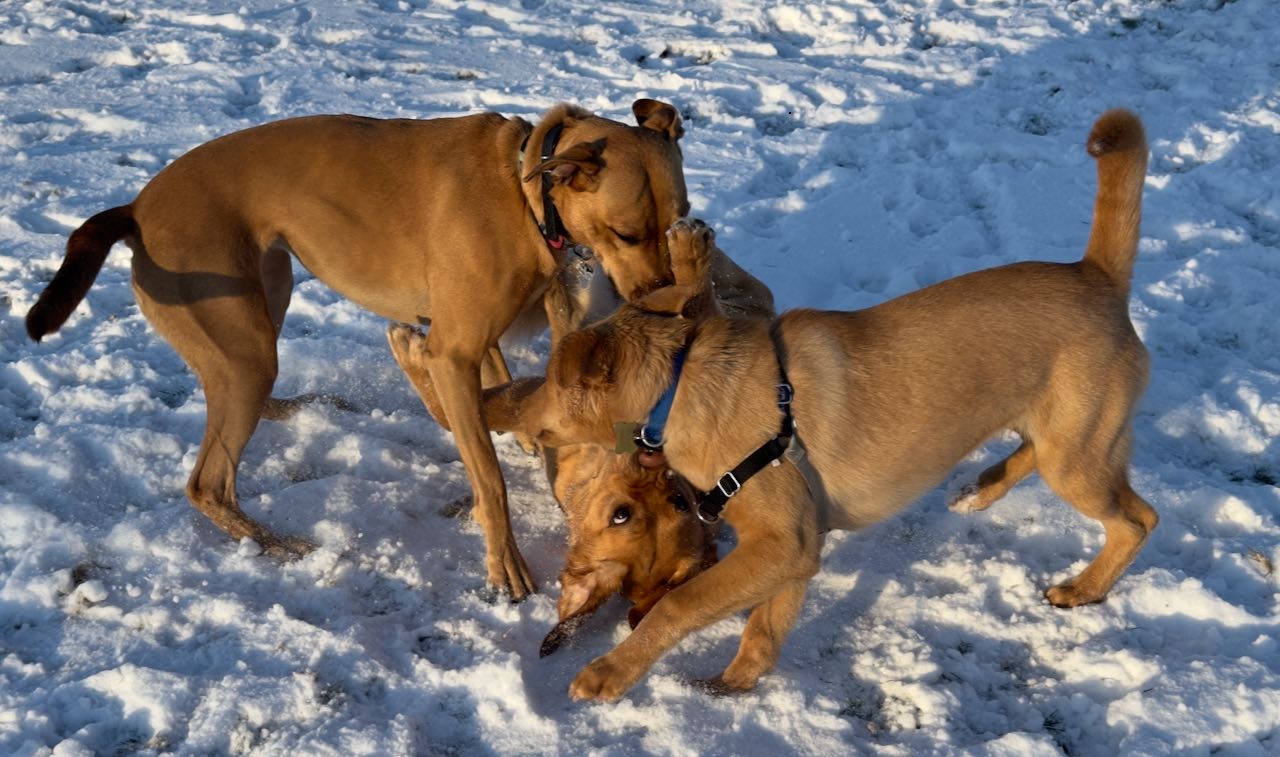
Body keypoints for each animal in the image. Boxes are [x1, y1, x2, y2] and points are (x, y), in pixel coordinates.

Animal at [24, 100, 696, 599]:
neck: (525, 194)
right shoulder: (453, 350)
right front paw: (506, 562)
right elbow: (488, 473)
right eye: (627, 233)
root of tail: (135, 208)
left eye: (678, 220)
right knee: (209, 483)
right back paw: (278, 546)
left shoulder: (473, 338)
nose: (669, 300)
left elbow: (500, 384)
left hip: (262, 303)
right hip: (242, 342)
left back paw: (299, 410)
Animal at [473, 109, 1162, 701]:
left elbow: (680, 603)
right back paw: (980, 489)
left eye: (622, 515)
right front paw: (731, 684)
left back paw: (1084, 588)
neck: (681, 384)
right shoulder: (793, 552)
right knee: (1031, 453)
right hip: (1061, 433)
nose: (507, 405)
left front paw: (609, 673)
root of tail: (1097, 275)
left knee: (1138, 518)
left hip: (1079, 456)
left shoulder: (779, 543)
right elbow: (762, 631)